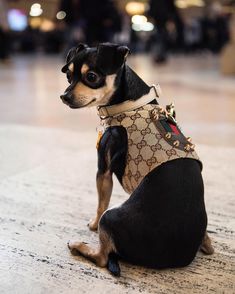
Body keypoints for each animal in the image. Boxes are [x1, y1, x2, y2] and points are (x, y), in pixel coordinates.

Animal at [60, 43, 213, 276]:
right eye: (68, 76)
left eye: (92, 77)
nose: (64, 96)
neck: (128, 104)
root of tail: (177, 259)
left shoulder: (103, 171)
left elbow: (100, 203)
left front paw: (92, 225)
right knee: (209, 246)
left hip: (110, 218)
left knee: (103, 257)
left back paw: (79, 246)